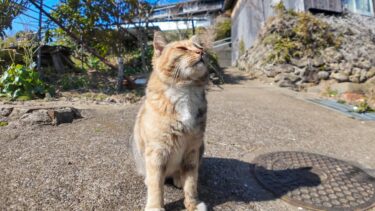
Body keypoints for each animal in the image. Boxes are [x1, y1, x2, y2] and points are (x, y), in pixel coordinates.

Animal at [131, 31, 209, 211]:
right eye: (182, 48)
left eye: (199, 47)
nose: (202, 52)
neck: (185, 90)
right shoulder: (157, 151)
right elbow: (156, 185)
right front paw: (155, 207)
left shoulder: (192, 149)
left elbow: (191, 183)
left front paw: (192, 204)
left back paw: (178, 178)